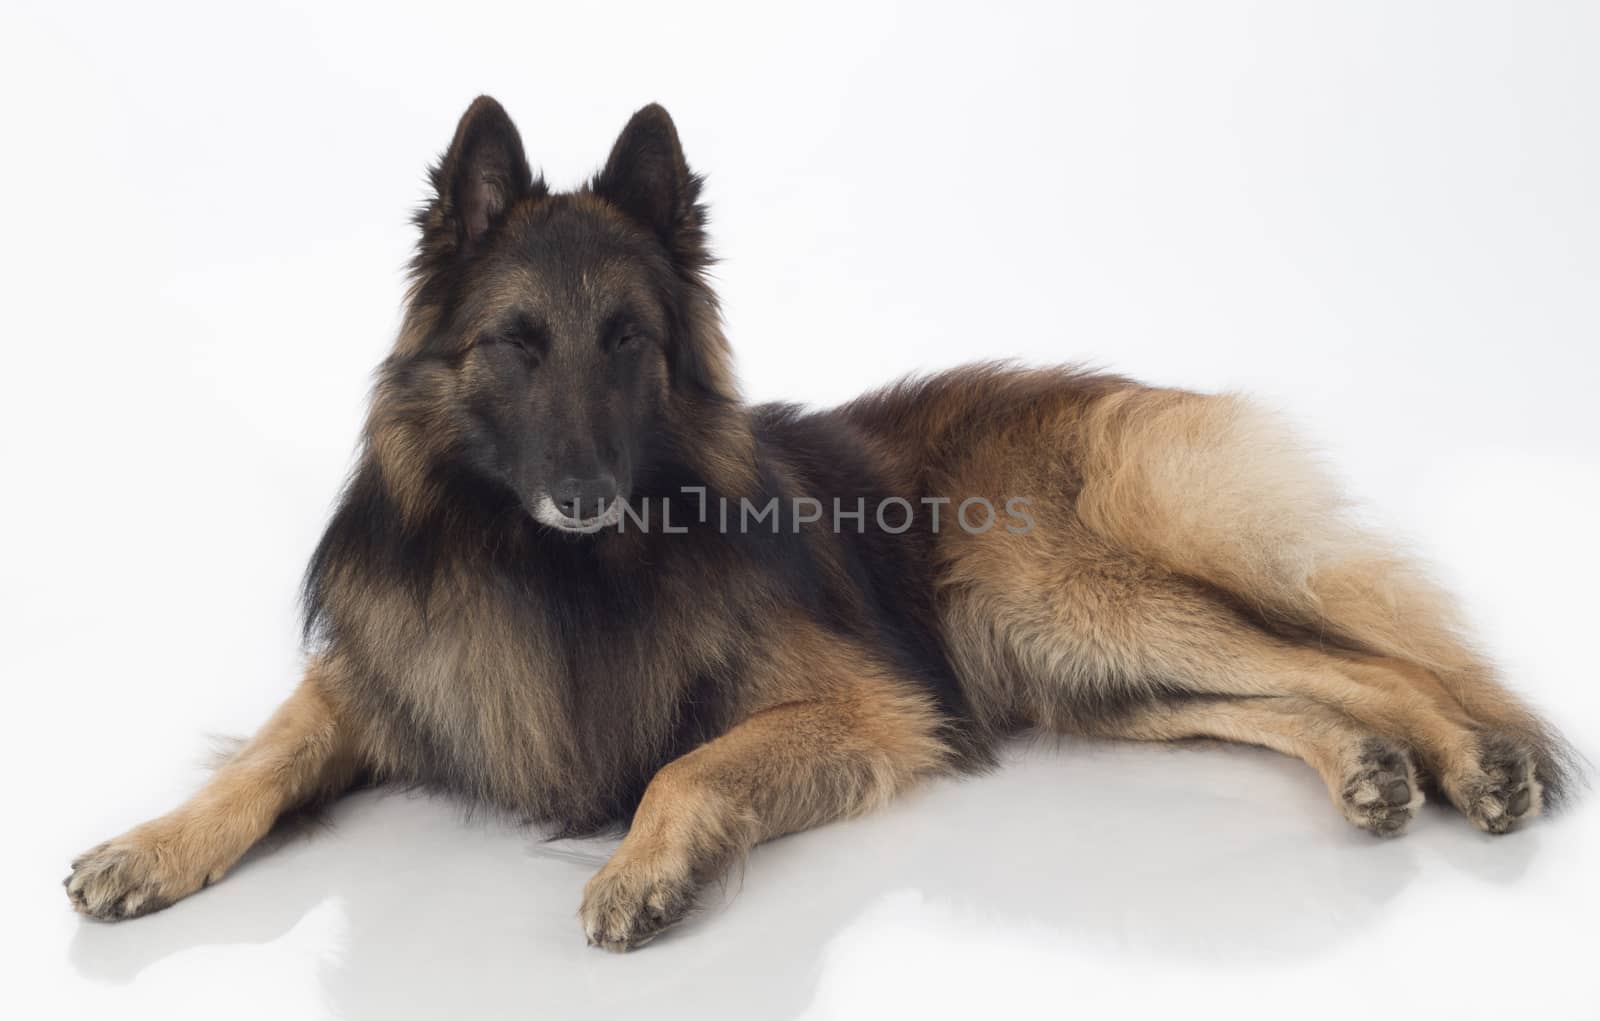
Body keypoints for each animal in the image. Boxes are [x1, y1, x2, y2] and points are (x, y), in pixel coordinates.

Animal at [65, 96, 1574, 953]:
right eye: (517, 343)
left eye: (628, 341)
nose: (585, 491)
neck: (556, 571)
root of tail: (1105, 390)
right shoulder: (394, 672)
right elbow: (264, 758)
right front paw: (149, 845)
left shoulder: (864, 708)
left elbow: (686, 768)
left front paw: (643, 870)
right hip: (1072, 668)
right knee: (1284, 694)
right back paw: (1370, 769)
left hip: (1060, 601)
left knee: (1366, 660)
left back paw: (1470, 756)